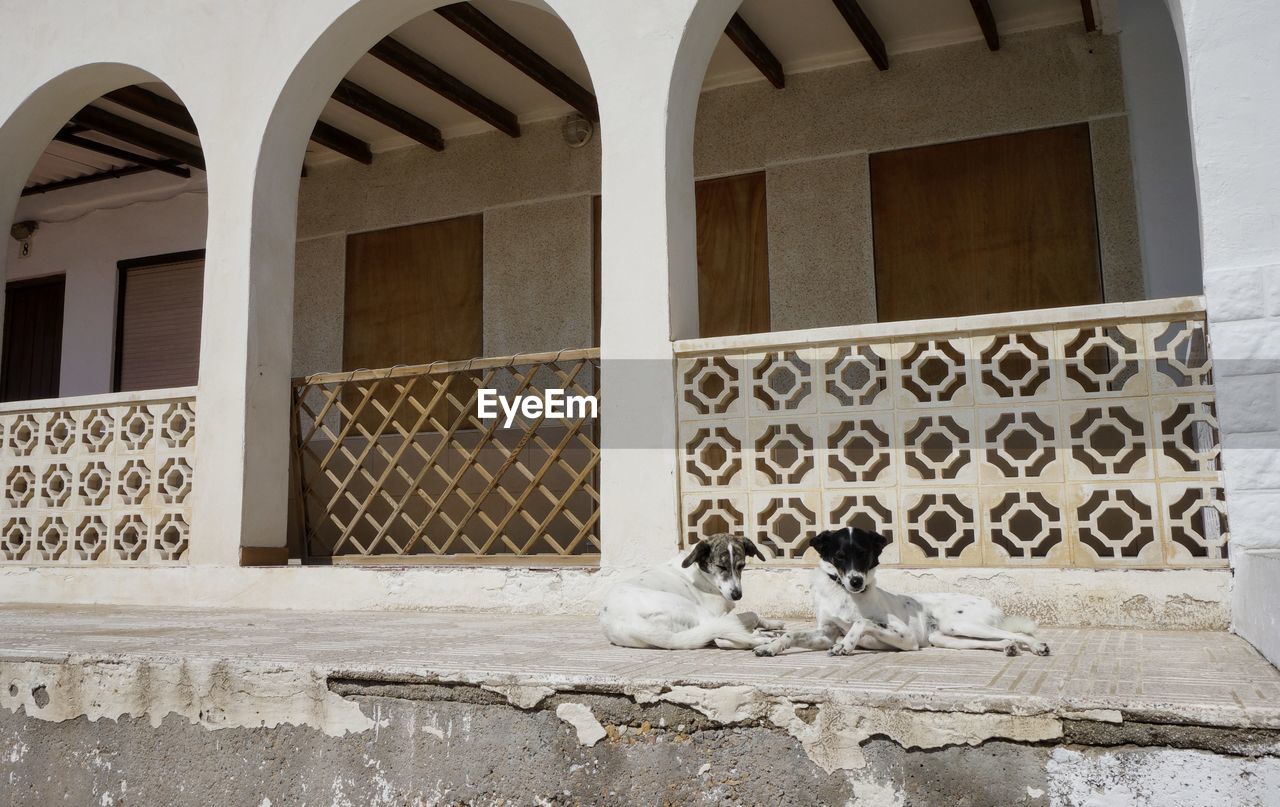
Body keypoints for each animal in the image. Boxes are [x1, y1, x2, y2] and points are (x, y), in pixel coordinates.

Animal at [601, 535, 783, 655]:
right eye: (721, 566)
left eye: (741, 565)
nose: (737, 595)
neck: (700, 572)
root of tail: (632, 624)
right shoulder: (720, 614)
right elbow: (752, 614)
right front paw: (762, 629)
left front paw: (773, 624)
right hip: (697, 611)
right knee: (721, 637)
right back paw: (761, 639)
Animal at [752, 530, 1044, 655]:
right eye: (839, 556)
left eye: (864, 554)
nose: (856, 581)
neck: (845, 596)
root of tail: (993, 604)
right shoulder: (824, 634)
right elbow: (791, 633)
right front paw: (771, 646)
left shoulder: (907, 638)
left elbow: (862, 622)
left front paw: (847, 644)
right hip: (945, 637)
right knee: (1000, 639)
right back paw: (1008, 648)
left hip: (960, 623)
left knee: (1019, 633)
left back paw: (1037, 645)